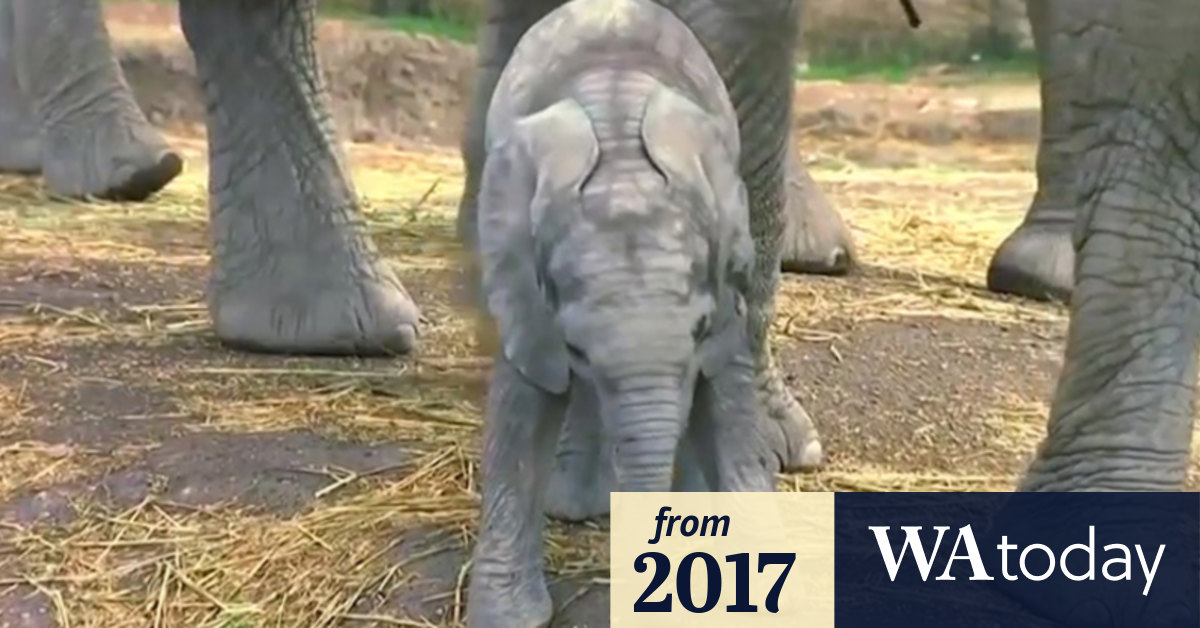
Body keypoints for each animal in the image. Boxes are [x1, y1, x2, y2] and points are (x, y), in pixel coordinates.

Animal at [466, 2, 777, 625]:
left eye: (698, 329)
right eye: (577, 348)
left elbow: (724, 385)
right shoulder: (519, 275)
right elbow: (523, 405)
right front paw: (508, 617)